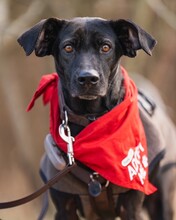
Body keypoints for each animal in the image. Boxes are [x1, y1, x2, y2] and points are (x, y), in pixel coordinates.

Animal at [16, 17, 176, 220]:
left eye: (106, 47)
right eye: (68, 48)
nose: (88, 78)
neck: (91, 119)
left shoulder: (131, 209)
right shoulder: (64, 209)